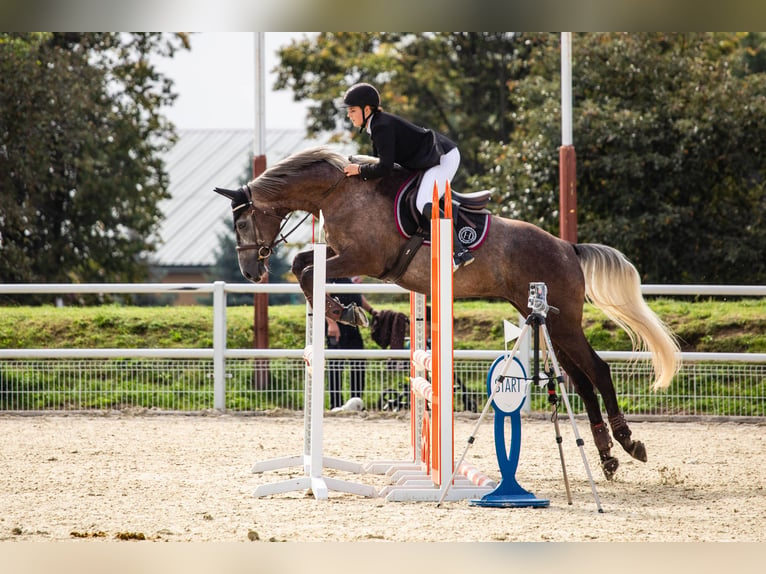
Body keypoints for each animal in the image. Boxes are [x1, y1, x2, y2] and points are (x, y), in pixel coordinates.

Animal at [213, 146, 680, 480]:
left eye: (242, 223)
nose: (251, 272)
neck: (339, 191)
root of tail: (568, 246)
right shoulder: (344, 255)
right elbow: (302, 265)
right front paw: (340, 310)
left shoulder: (364, 258)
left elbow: (310, 271)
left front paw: (345, 313)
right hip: (546, 318)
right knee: (581, 382)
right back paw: (607, 457)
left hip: (563, 322)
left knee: (597, 371)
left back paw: (628, 443)